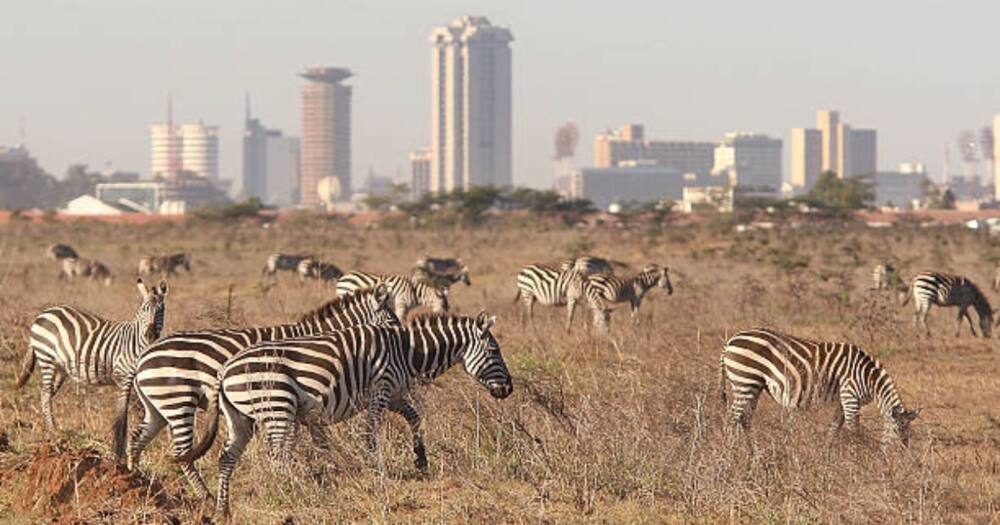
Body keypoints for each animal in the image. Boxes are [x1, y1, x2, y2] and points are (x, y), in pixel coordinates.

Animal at [17, 278, 168, 438]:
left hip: (60, 367)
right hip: (47, 358)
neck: (135, 341)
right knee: (45, 392)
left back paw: (47, 425)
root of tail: (44, 313)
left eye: (161, 311)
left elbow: (143, 407)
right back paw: (52, 429)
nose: (151, 335)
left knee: (48, 393)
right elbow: (126, 408)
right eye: (144, 309)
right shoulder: (123, 376)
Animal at [127, 284, 400, 498]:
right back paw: (204, 494)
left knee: (137, 439)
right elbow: (293, 441)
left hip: (158, 407)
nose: (401, 334)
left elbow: (304, 439)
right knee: (181, 452)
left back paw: (135, 482)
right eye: (391, 321)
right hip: (178, 400)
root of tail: (144, 356)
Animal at [720, 328, 920, 446]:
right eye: (896, 430)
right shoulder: (850, 396)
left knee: (744, 418)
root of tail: (729, 342)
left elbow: (835, 428)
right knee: (731, 418)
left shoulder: (842, 401)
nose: (901, 456)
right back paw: (731, 451)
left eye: (908, 432)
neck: (868, 377)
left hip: (753, 386)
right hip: (745, 381)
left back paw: (752, 450)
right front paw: (859, 456)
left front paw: (826, 455)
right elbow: (853, 428)